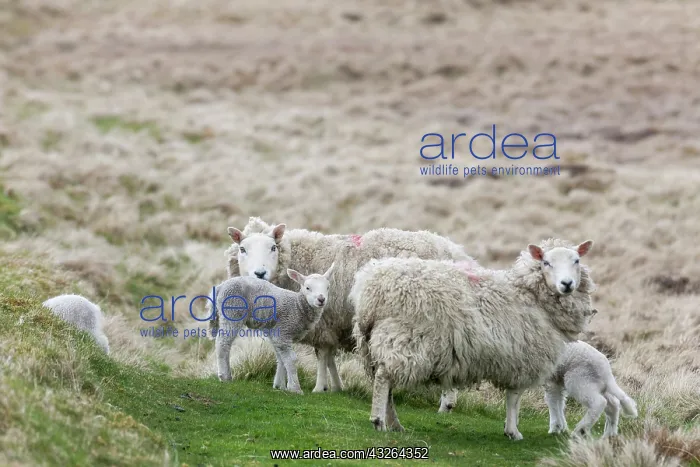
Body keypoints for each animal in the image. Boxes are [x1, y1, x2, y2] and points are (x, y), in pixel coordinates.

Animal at [212, 262, 335, 394]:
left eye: (328, 287)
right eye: (307, 288)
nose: (321, 299)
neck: (298, 306)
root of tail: (221, 287)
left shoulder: (277, 333)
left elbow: (281, 358)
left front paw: (279, 385)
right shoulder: (284, 329)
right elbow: (291, 359)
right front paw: (295, 388)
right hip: (232, 310)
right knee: (223, 342)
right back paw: (225, 376)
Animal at [348, 238, 596, 438]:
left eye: (576, 260)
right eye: (546, 262)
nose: (567, 284)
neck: (529, 294)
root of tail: (370, 287)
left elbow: (512, 398)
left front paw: (509, 429)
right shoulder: (522, 358)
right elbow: (514, 398)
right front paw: (513, 431)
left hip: (374, 341)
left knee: (386, 382)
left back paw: (394, 424)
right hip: (403, 337)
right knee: (383, 379)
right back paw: (379, 421)